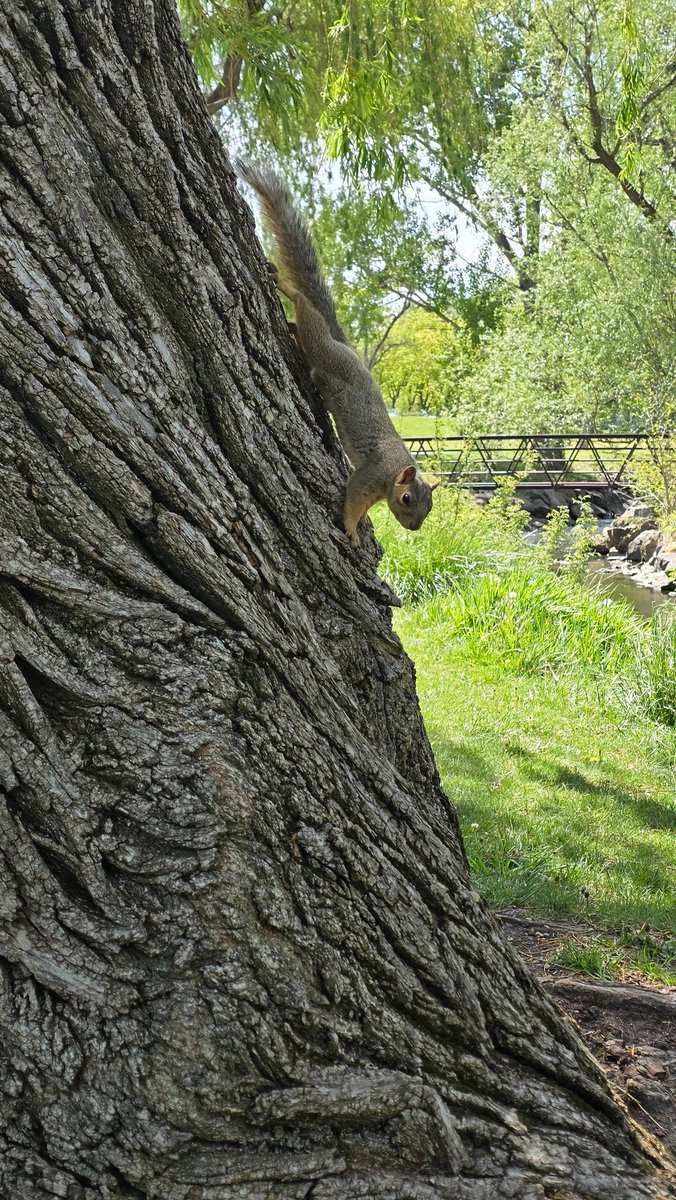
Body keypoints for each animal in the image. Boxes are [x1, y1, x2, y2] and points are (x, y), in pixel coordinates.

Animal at [236, 161, 438, 547]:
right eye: (407, 499)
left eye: (430, 508)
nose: (416, 528)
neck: (393, 475)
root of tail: (345, 347)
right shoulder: (369, 476)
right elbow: (353, 501)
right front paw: (351, 530)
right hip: (323, 347)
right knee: (305, 310)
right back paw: (286, 288)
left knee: (299, 327)